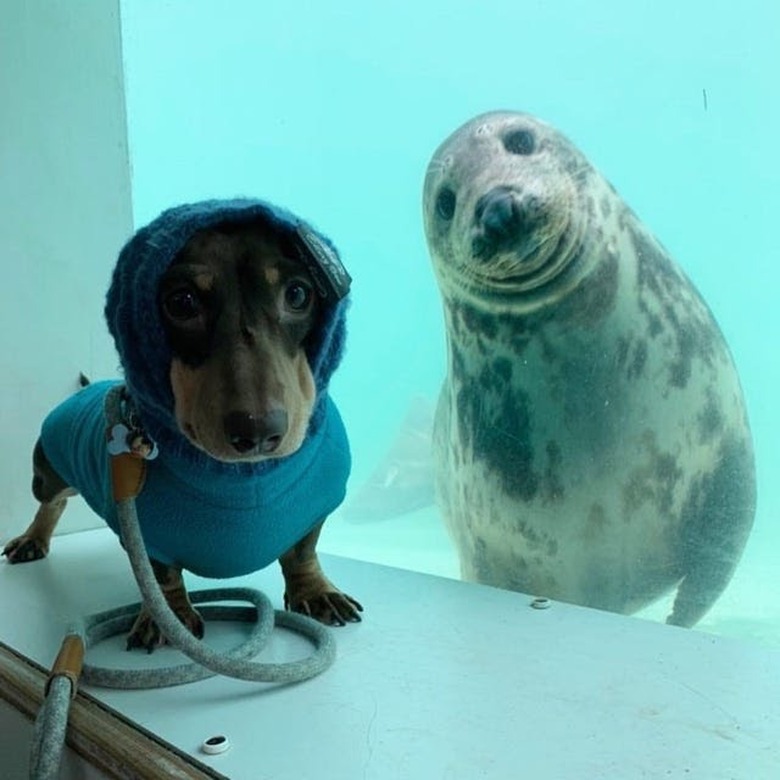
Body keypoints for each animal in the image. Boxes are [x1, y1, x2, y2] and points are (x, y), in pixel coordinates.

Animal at [2, 198, 362, 648]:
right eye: (183, 302)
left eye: (298, 294)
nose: (258, 432)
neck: (244, 480)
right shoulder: (143, 533)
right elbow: (161, 576)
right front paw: (167, 617)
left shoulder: (315, 510)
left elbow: (302, 551)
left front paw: (315, 591)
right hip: (47, 474)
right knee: (51, 502)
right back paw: (32, 539)